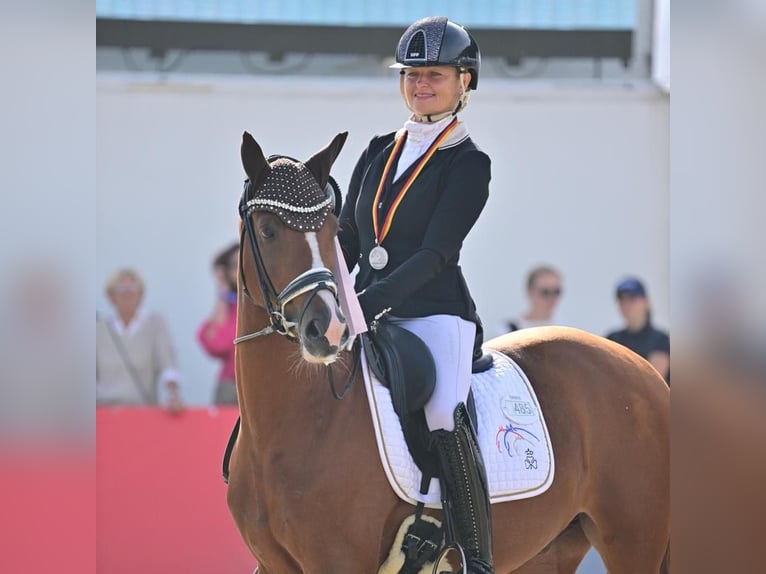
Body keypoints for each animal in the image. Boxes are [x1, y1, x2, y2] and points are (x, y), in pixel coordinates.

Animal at [225, 132, 668, 574]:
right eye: (267, 230)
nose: (330, 329)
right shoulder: (273, 564)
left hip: (632, 541)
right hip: (553, 549)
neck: (291, 425)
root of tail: (646, 371)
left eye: (330, 230)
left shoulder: (338, 562)